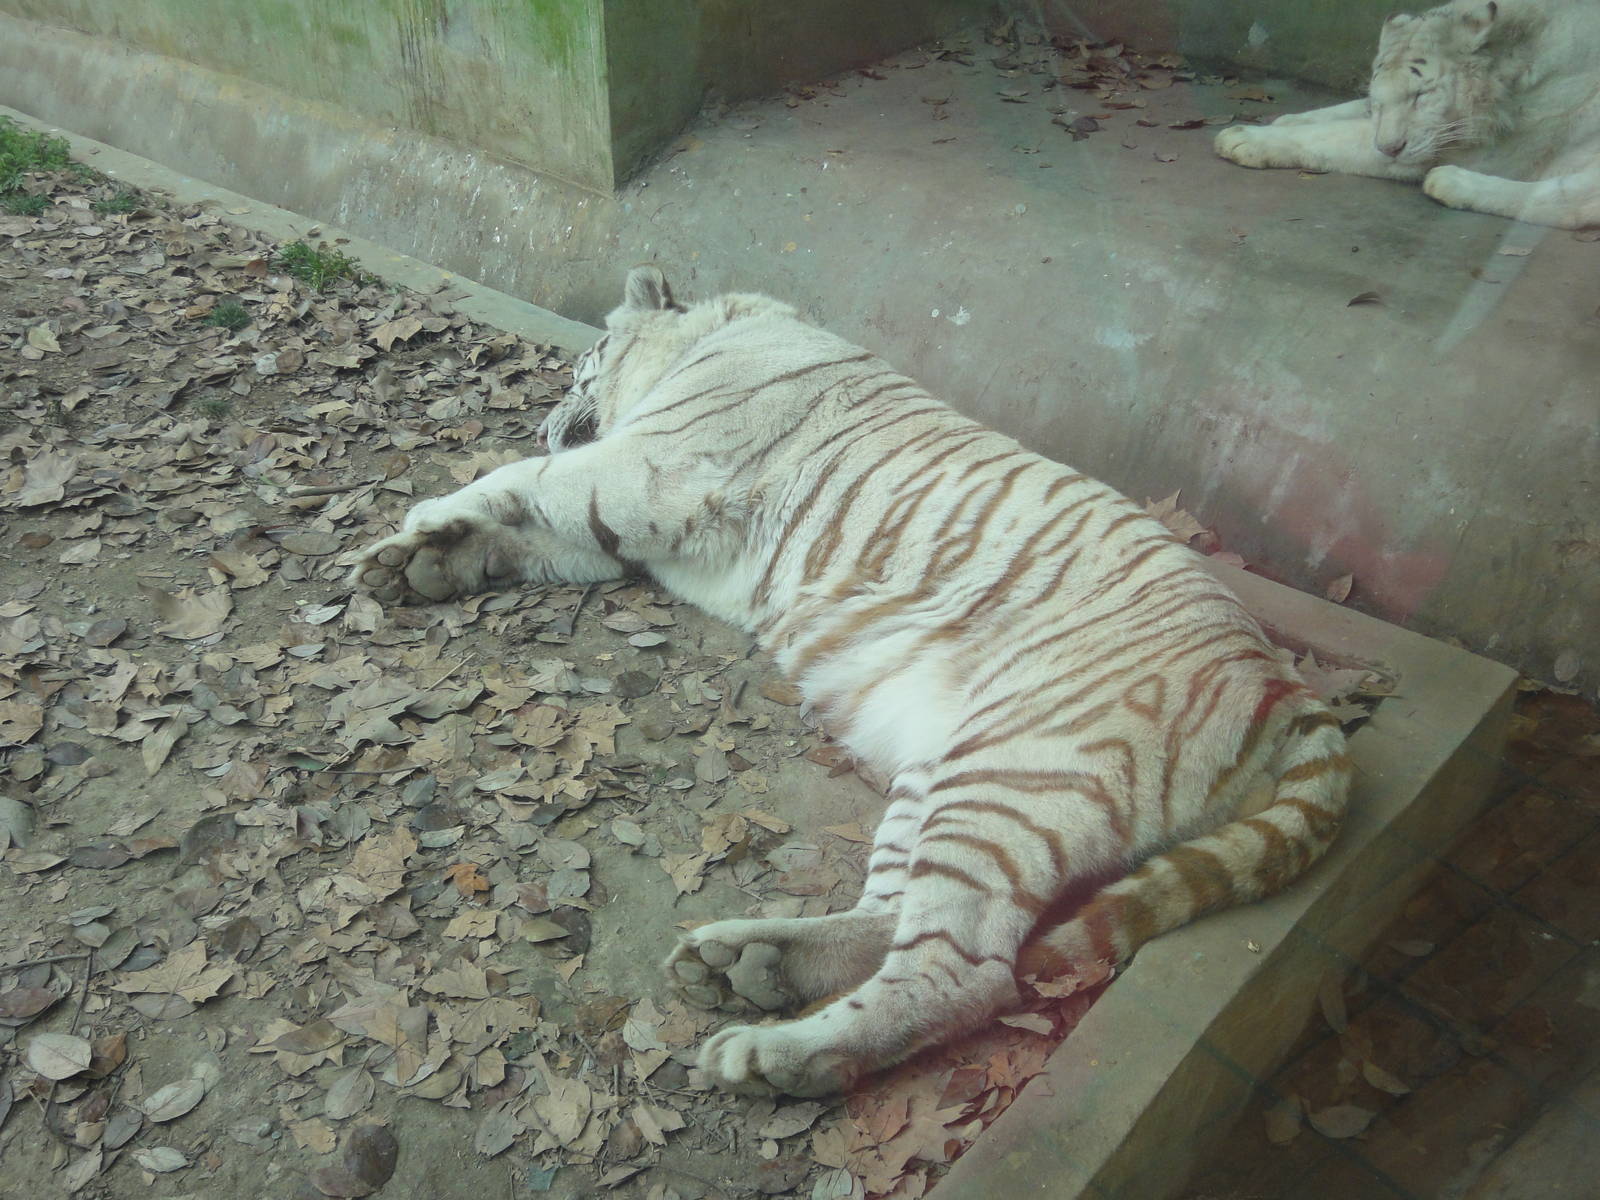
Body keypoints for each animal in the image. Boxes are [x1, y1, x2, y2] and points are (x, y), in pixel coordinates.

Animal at [350, 266, 1351, 1098]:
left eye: (581, 367)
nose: (544, 410)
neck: (717, 330)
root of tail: (1282, 682)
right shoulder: (629, 530)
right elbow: (531, 532)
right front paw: (422, 565)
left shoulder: (650, 467)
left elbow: (532, 479)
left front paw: (426, 516)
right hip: (946, 768)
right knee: (894, 916)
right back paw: (750, 964)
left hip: (1015, 768)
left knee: (961, 970)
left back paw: (774, 1055)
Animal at [1214, 0, 1600, 230]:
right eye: (1380, 98)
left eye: (1421, 95)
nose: (1390, 149)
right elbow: (1348, 113)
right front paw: (1288, 118)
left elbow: (1338, 137)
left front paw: (1245, 138)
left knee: (1572, 203)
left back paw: (1450, 182)